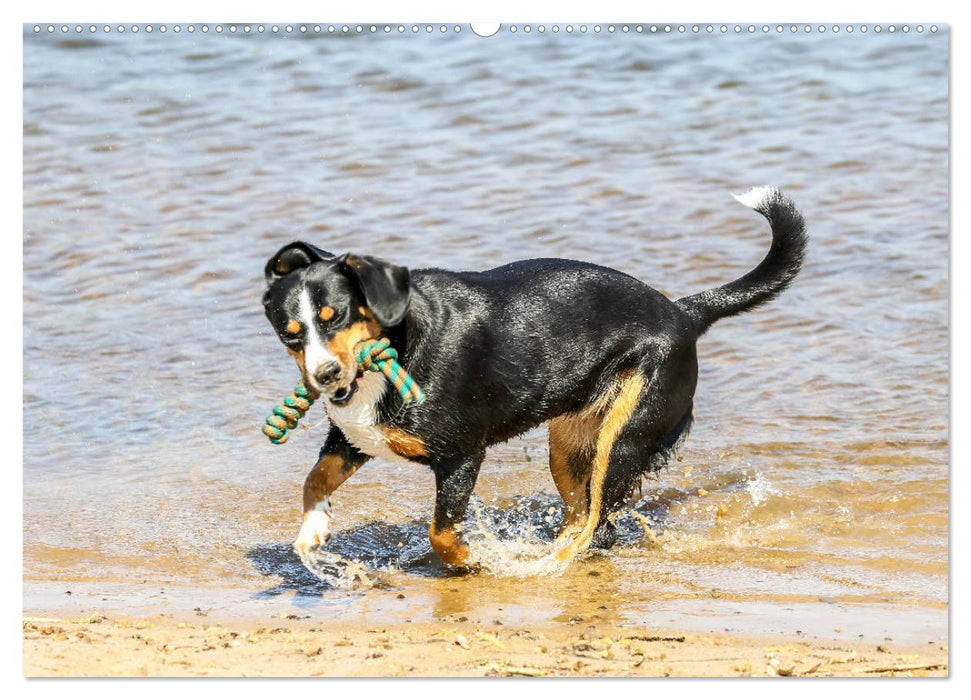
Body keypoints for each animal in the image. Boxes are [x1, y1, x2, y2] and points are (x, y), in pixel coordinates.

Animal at [262, 187, 808, 568]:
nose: (326, 375)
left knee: (597, 524)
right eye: (291, 334)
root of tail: (682, 312)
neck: (402, 340)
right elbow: (314, 479)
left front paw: (470, 562)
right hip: (569, 446)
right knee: (583, 514)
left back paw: (546, 566)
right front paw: (313, 531)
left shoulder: (461, 455)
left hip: (624, 435)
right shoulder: (352, 437)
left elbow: (441, 533)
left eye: (336, 315)